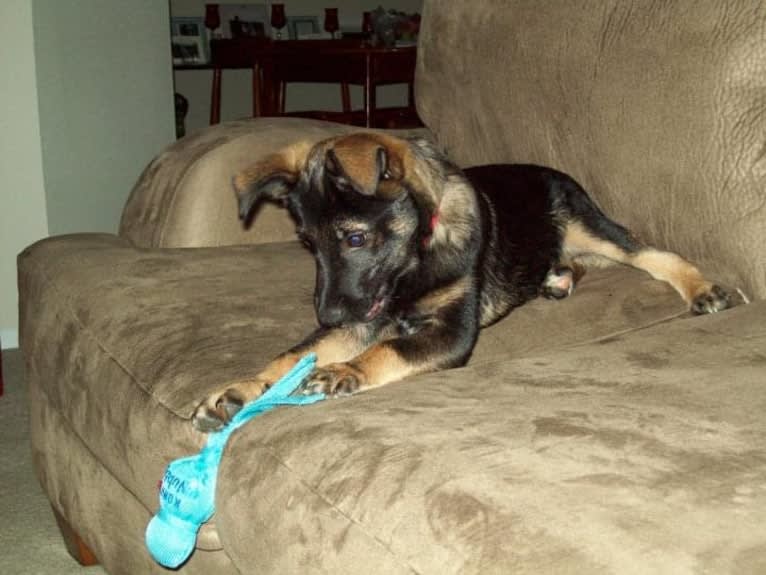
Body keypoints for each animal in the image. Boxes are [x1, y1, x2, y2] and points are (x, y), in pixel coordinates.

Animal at [192, 133, 732, 432]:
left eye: (355, 237)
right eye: (307, 243)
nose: (327, 315)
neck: (414, 259)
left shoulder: (449, 332)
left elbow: (387, 348)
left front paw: (346, 370)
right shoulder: (364, 315)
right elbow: (292, 354)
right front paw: (238, 389)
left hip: (586, 225)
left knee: (651, 254)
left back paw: (703, 289)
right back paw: (557, 279)